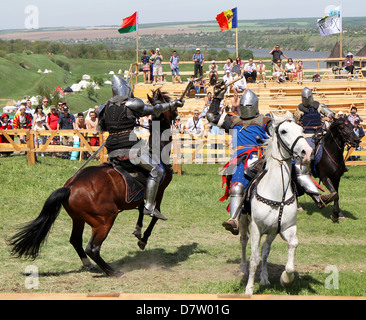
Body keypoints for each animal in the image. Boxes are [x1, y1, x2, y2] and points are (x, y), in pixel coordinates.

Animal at [8, 89, 177, 276]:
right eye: (167, 101)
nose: (177, 113)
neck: (156, 150)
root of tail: (69, 187)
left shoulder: (142, 196)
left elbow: (142, 210)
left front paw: (138, 231)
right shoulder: (159, 190)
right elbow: (153, 214)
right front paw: (143, 239)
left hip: (78, 218)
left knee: (75, 240)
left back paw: (89, 264)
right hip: (104, 219)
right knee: (93, 248)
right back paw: (111, 271)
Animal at [239, 111, 314, 296]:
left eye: (301, 129)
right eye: (284, 131)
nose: (307, 152)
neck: (277, 193)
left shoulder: (286, 228)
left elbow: (292, 245)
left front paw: (286, 279)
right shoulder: (256, 228)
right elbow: (254, 258)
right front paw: (249, 288)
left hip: (271, 232)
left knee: (265, 251)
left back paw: (265, 278)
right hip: (244, 221)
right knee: (244, 241)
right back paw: (243, 271)